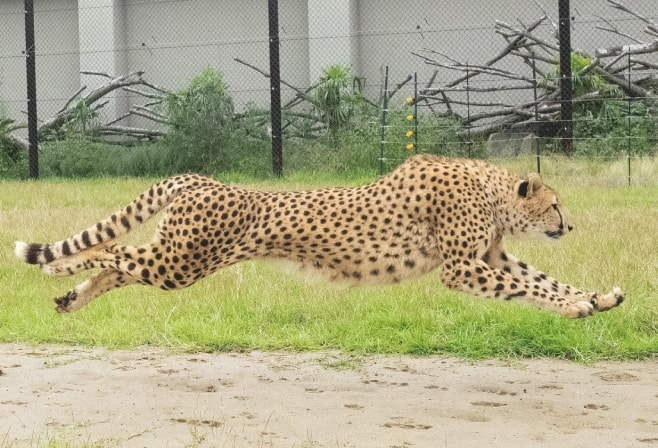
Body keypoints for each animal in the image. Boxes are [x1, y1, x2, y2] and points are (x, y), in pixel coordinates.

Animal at [15, 156, 620, 316]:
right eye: (556, 203)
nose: (568, 223)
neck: (492, 193)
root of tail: (200, 178)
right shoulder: (461, 267)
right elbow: (531, 287)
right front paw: (578, 306)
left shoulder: (492, 257)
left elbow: (543, 278)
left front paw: (597, 298)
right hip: (181, 261)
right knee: (110, 249)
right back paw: (56, 266)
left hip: (178, 261)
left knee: (118, 265)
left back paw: (69, 297)